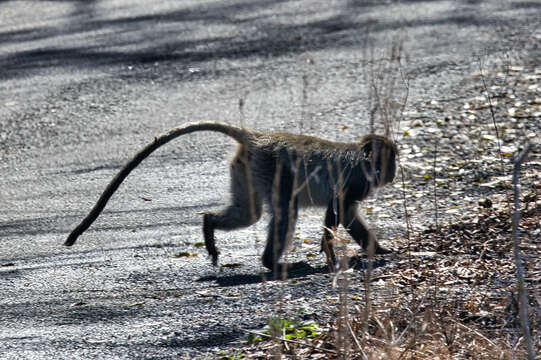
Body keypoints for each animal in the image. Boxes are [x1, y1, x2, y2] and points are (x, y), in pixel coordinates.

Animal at [66, 122, 396, 272]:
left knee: (250, 213)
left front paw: (377, 249)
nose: (393, 172)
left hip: (246, 168)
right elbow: (339, 210)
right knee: (285, 211)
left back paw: (209, 225)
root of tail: (258, 138)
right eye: (389, 159)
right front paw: (332, 253)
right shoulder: (356, 181)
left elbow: (346, 214)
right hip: (271, 168)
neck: (361, 158)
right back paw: (271, 263)